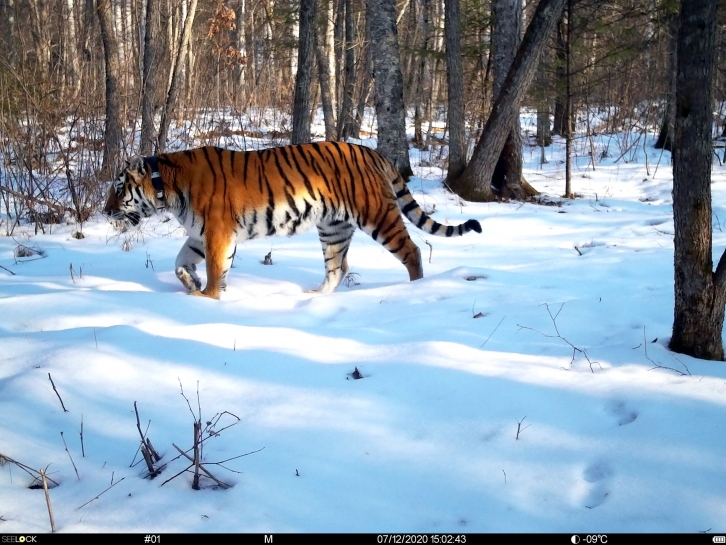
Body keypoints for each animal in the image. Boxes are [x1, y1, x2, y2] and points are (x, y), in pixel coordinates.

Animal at [104, 141, 484, 298]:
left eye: (118, 189)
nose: (105, 211)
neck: (164, 185)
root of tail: (373, 151)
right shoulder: (200, 234)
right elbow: (180, 263)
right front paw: (191, 283)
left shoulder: (216, 232)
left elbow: (214, 269)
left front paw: (206, 298)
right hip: (333, 228)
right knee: (338, 267)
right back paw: (315, 297)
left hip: (377, 215)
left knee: (411, 251)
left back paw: (415, 289)